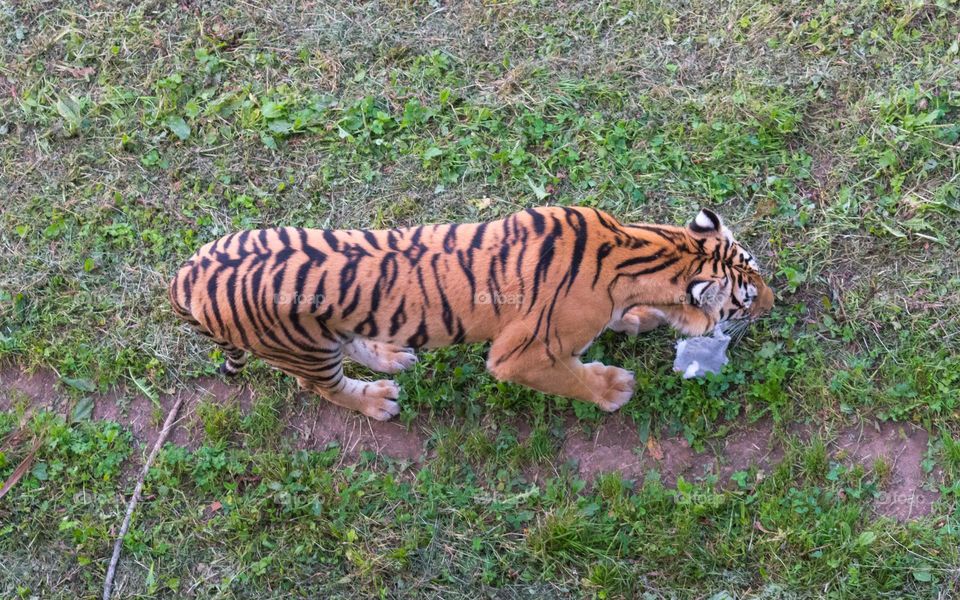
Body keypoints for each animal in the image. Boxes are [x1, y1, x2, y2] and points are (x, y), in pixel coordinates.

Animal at [169, 206, 774, 420]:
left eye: (757, 269)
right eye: (745, 299)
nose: (775, 300)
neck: (638, 246)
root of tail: (185, 275)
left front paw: (639, 319)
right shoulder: (519, 355)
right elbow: (570, 376)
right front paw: (611, 389)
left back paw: (392, 355)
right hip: (304, 349)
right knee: (323, 386)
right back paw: (378, 400)